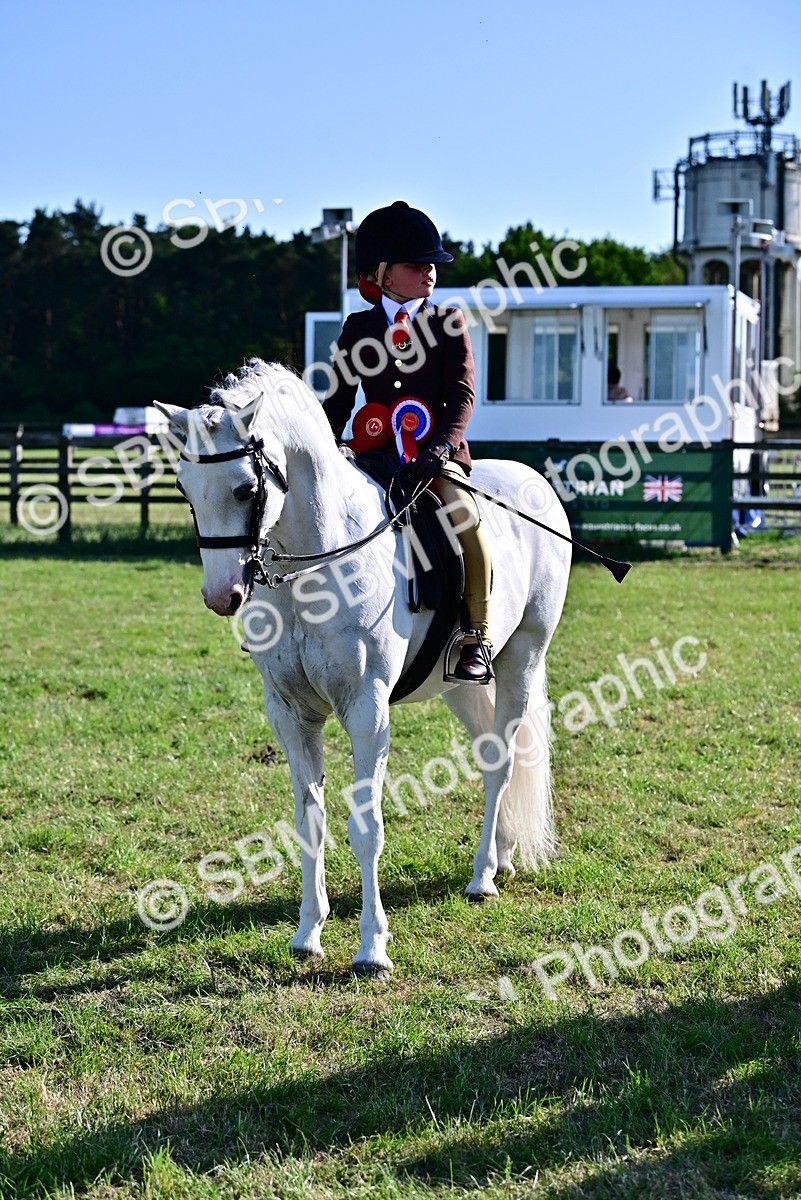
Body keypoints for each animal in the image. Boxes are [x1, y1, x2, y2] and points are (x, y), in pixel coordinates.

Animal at [155, 359, 571, 978]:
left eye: (245, 488)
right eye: (184, 488)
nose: (220, 596)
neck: (313, 570)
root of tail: (535, 483)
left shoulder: (366, 708)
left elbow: (366, 825)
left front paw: (372, 948)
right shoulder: (291, 714)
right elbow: (310, 821)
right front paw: (307, 933)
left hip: (523, 658)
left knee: (501, 761)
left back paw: (482, 878)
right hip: (460, 683)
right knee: (488, 751)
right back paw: (502, 856)